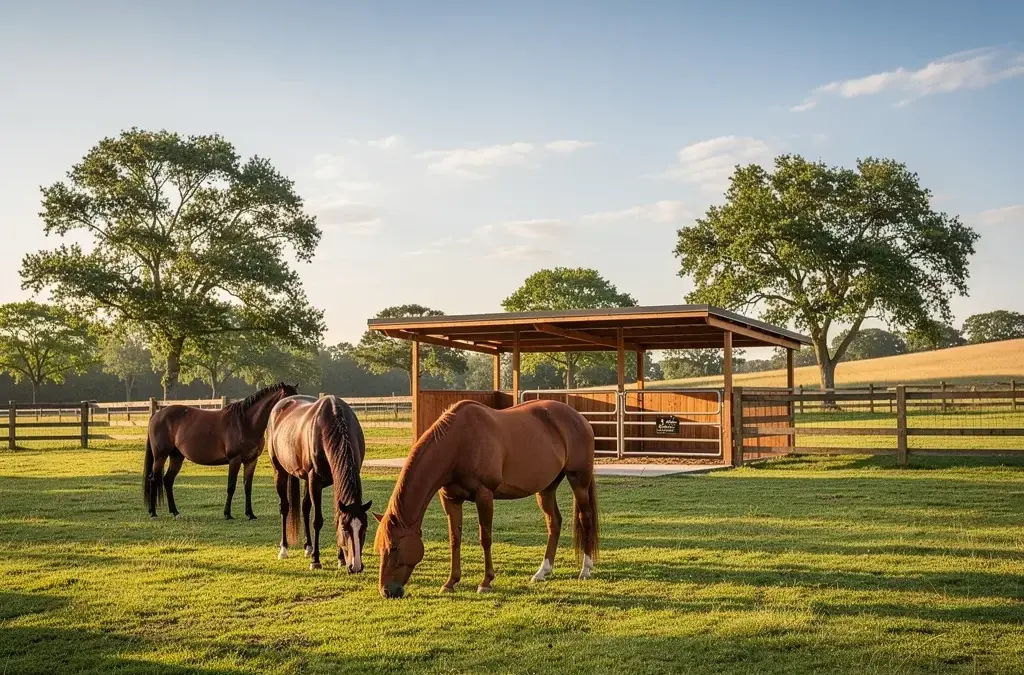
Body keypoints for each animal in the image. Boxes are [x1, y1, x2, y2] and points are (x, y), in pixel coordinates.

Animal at [143, 382, 298, 520]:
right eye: (289, 399)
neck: (245, 422)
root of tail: (156, 415)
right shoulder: (235, 460)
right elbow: (231, 486)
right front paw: (227, 514)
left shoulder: (251, 460)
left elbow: (248, 487)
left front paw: (250, 514)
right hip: (160, 456)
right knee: (153, 479)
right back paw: (153, 513)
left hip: (176, 456)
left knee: (168, 480)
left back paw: (175, 512)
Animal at [266, 394, 371, 572]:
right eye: (345, 528)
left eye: (364, 527)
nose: (356, 566)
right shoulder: (314, 480)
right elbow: (318, 521)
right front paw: (316, 560)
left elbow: (335, 515)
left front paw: (340, 559)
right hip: (280, 472)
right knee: (285, 507)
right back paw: (284, 549)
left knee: (305, 507)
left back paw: (308, 547)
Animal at [374, 399, 599, 599]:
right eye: (381, 548)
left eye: (394, 547)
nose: (387, 591)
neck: (459, 442)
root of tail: (580, 418)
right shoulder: (450, 499)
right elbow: (455, 539)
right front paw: (450, 583)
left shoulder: (484, 495)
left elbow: (485, 538)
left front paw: (486, 582)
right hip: (546, 489)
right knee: (554, 523)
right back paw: (542, 572)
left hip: (578, 481)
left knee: (585, 519)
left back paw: (585, 569)